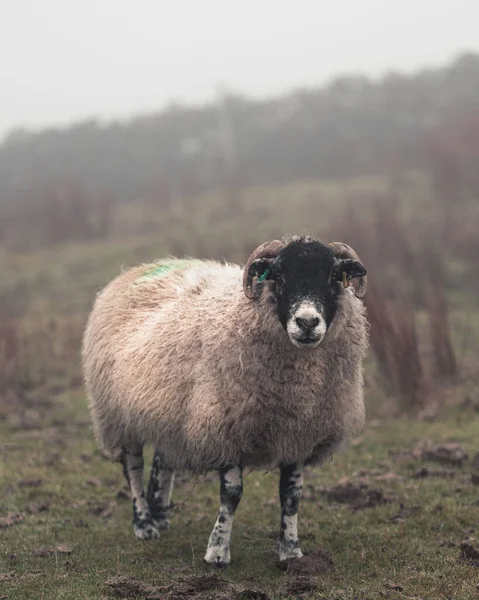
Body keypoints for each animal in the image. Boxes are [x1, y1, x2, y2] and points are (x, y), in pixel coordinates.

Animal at [82, 236, 370, 568]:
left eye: (334, 275)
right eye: (278, 275)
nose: (307, 322)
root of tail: (137, 269)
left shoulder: (299, 432)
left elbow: (291, 494)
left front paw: (290, 550)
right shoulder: (226, 426)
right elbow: (232, 494)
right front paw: (217, 550)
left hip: (171, 410)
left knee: (163, 460)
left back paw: (160, 514)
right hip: (117, 413)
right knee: (133, 467)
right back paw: (144, 524)